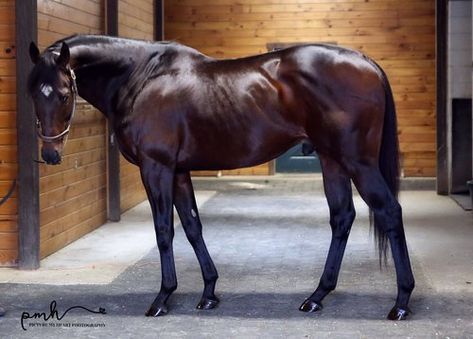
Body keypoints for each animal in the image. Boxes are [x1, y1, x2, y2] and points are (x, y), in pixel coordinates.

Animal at [27, 34, 414, 322]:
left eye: (63, 94)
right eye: (33, 92)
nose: (51, 154)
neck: (141, 77)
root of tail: (365, 61)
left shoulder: (157, 167)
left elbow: (164, 230)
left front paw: (163, 298)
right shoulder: (179, 171)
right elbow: (192, 226)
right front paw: (209, 293)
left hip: (358, 162)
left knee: (390, 211)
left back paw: (401, 302)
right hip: (332, 160)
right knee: (342, 217)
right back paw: (317, 296)